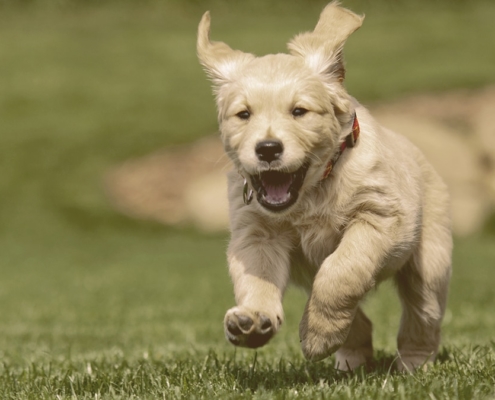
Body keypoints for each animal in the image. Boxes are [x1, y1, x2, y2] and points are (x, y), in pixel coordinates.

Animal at [196, 1, 452, 374]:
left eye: (299, 111)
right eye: (243, 114)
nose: (268, 149)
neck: (312, 191)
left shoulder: (380, 217)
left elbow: (341, 271)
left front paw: (318, 335)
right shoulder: (257, 234)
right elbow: (258, 278)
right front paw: (254, 320)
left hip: (430, 260)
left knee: (423, 313)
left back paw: (413, 364)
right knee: (360, 319)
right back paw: (351, 357)